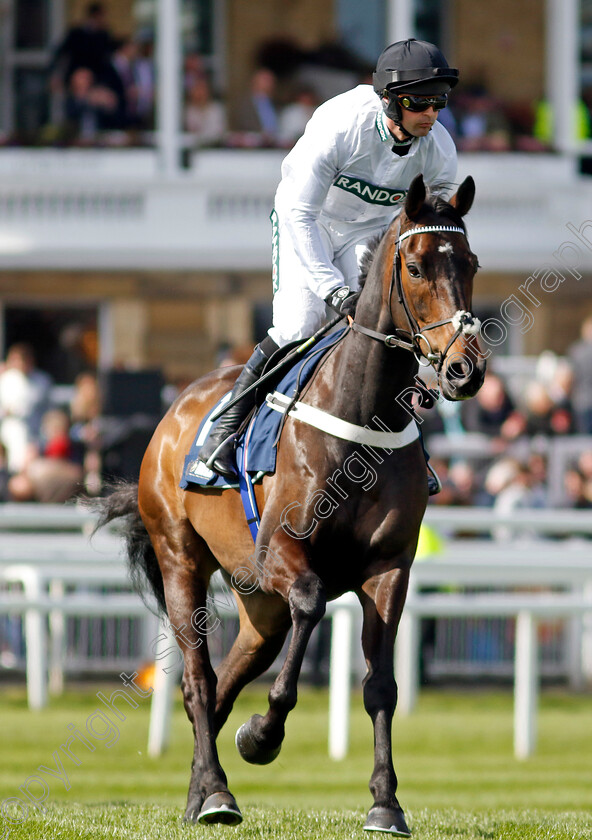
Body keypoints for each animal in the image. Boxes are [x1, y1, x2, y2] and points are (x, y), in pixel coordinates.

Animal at [96, 176, 486, 832]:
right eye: (414, 266)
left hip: (257, 604)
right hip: (182, 559)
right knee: (199, 679)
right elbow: (310, 605)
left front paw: (386, 802)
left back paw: (202, 790)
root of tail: (176, 411)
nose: (466, 369)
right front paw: (263, 735)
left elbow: (381, 685)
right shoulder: (282, 553)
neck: (363, 417)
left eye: (471, 264)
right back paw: (217, 794)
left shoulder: (389, 567)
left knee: (224, 682)